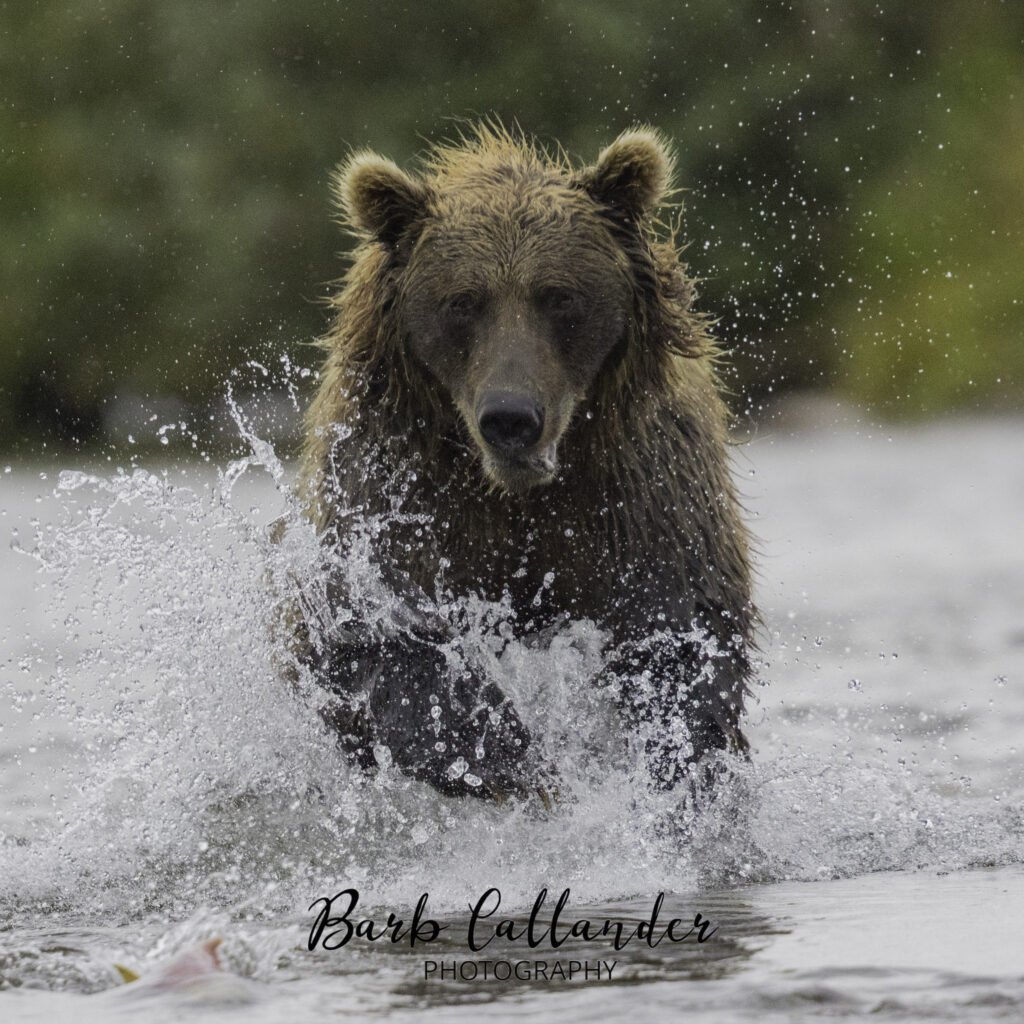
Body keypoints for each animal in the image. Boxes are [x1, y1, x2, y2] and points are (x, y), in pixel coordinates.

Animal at [291, 122, 755, 804]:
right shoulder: (393, 486)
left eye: (558, 296)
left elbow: (682, 636)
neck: (517, 495)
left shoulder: (646, 487)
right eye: (463, 301)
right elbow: (381, 630)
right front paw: (516, 760)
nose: (510, 417)